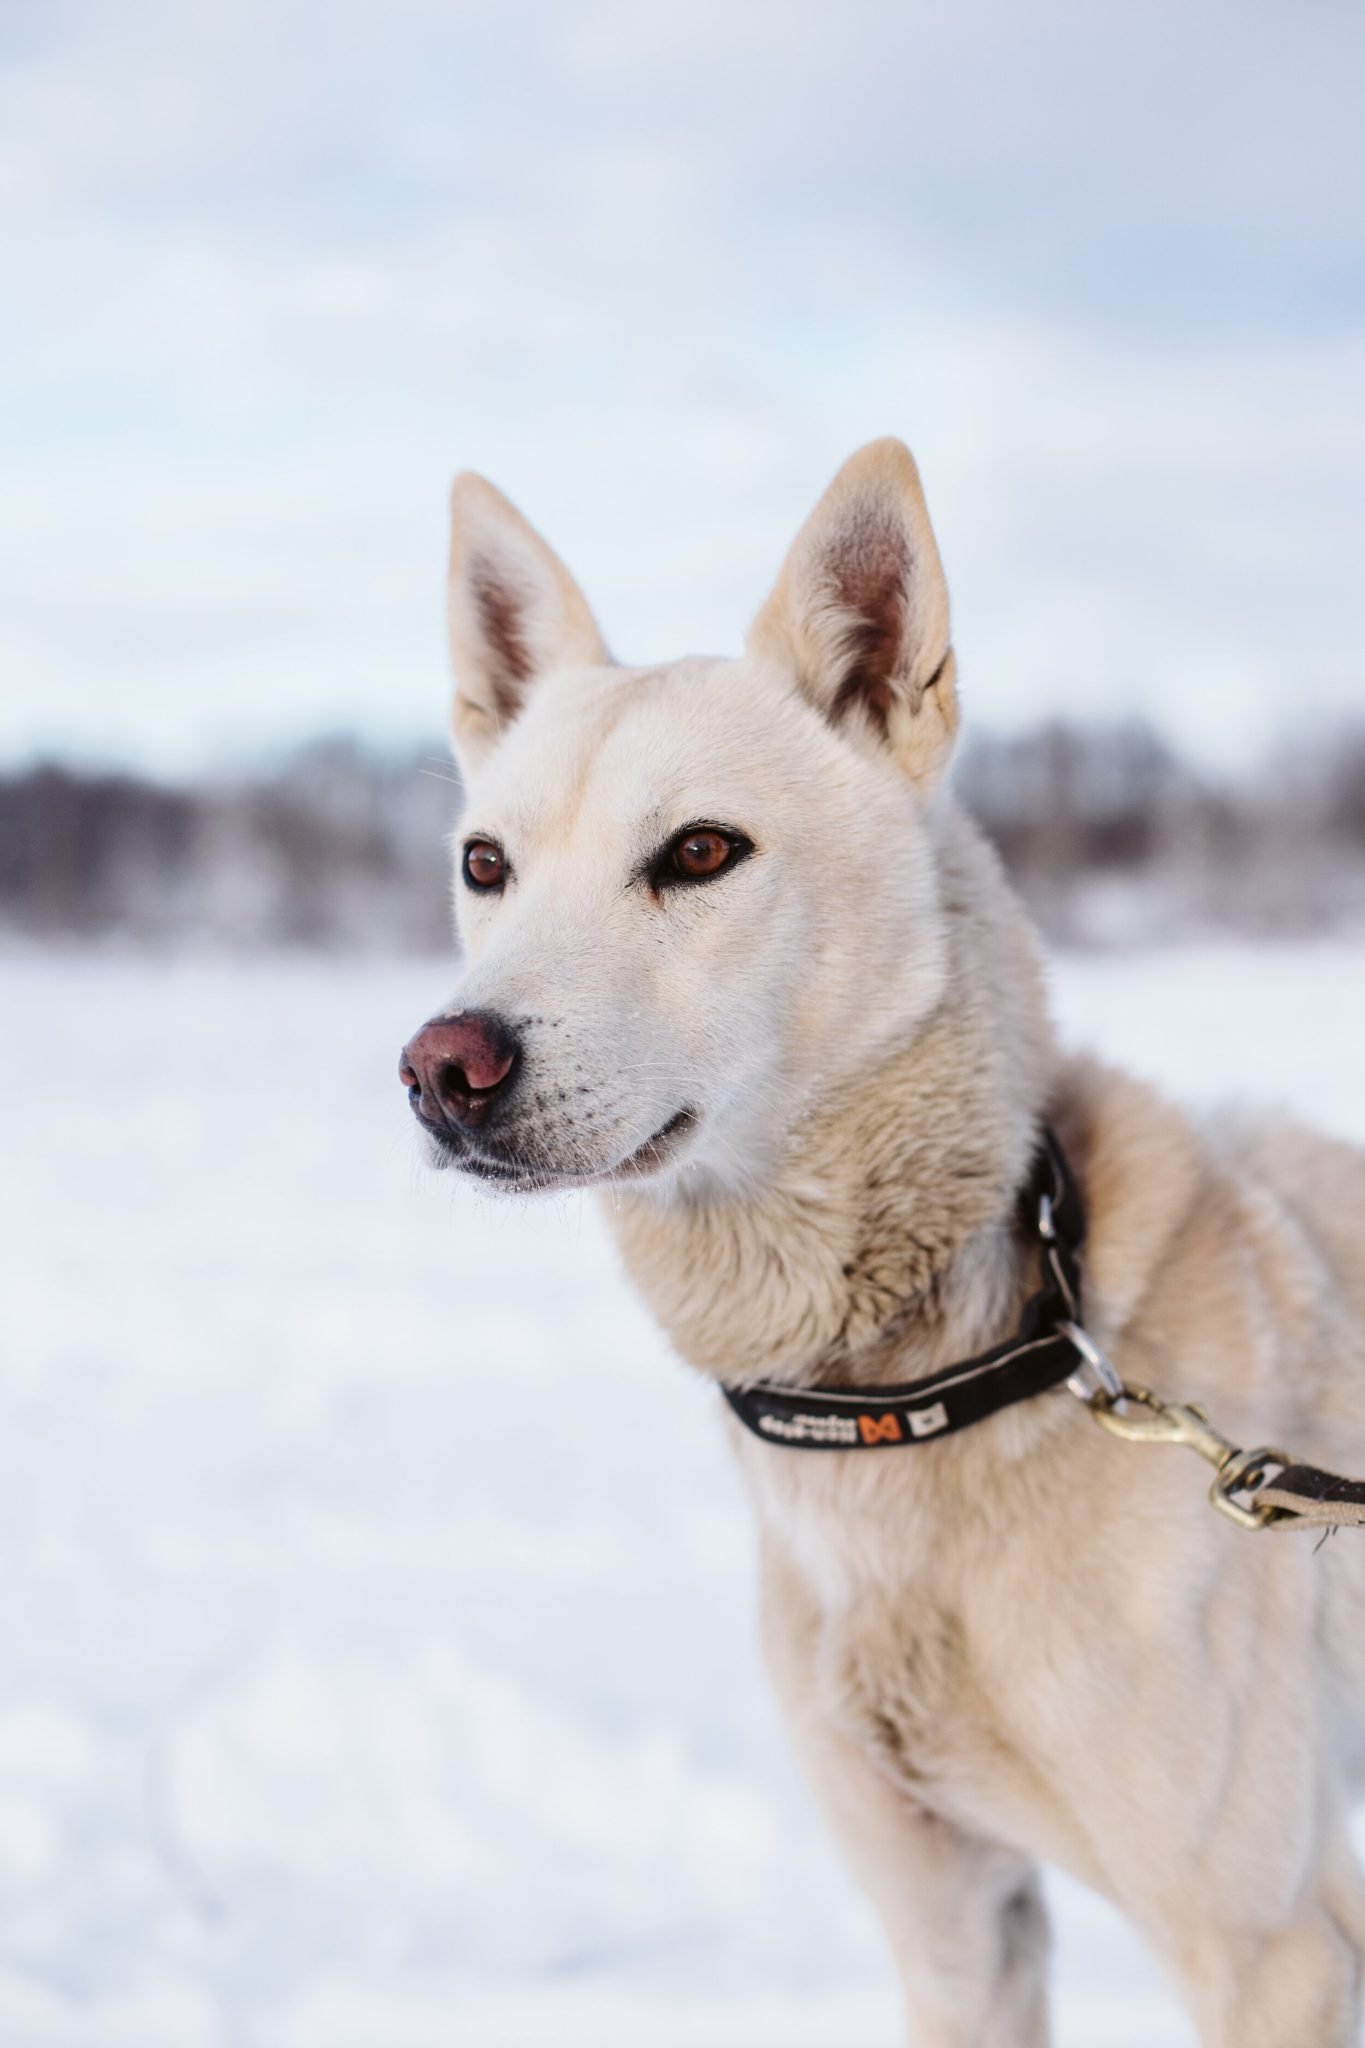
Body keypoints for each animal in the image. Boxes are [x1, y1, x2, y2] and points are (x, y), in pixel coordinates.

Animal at [401, 440, 1365, 2039]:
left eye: (701, 851)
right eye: (486, 866)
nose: (442, 1067)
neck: (934, 1379)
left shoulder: (1271, 1947)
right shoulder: (954, 1928)